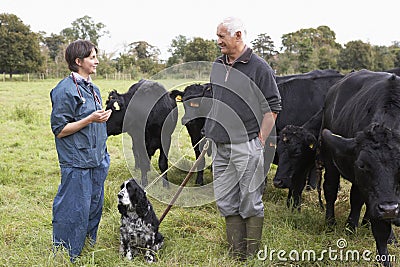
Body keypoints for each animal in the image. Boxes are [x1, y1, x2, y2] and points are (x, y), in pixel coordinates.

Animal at [318, 70, 400, 266]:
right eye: (362, 165)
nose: (388, 208)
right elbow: (380, 229)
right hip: (330, 161)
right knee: (331, 190)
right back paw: (334, 223)